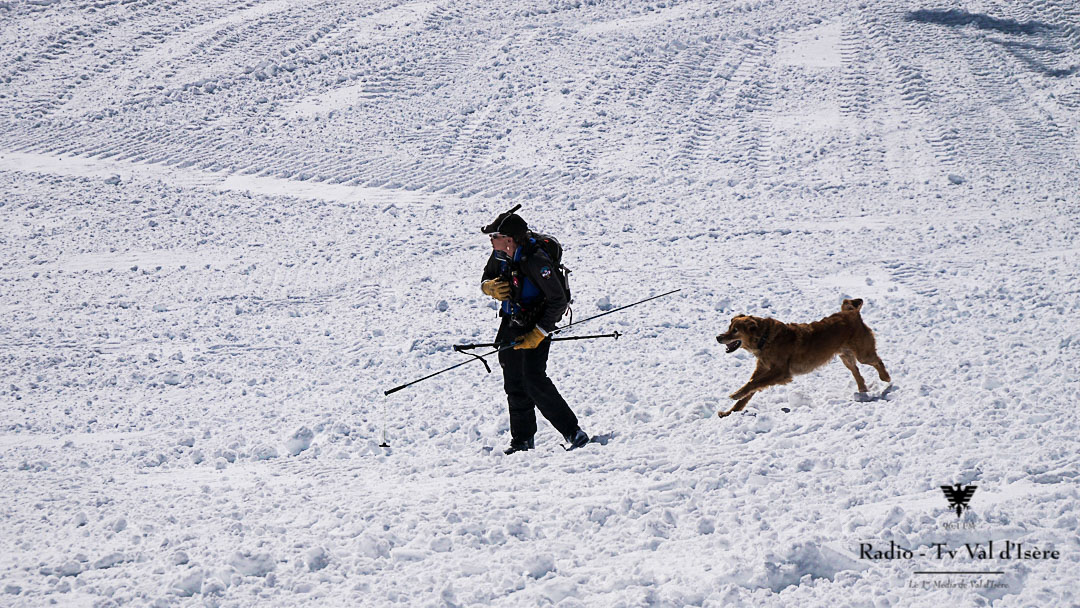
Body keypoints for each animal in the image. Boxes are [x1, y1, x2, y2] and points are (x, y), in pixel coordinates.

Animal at [714, 298, 890, 417]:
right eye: (729, 327)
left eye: (735, 330)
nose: (718, 337)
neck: (765, 339)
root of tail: (851, 313)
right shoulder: (763, 369)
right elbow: (750, 389)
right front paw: (730, 412)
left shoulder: (781, 372)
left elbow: (753, 384)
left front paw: (735, 394)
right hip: (845, 356)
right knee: (856, 371)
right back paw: (862, 389)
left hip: (862, 353)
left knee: (877, 361)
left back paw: (885, 378)